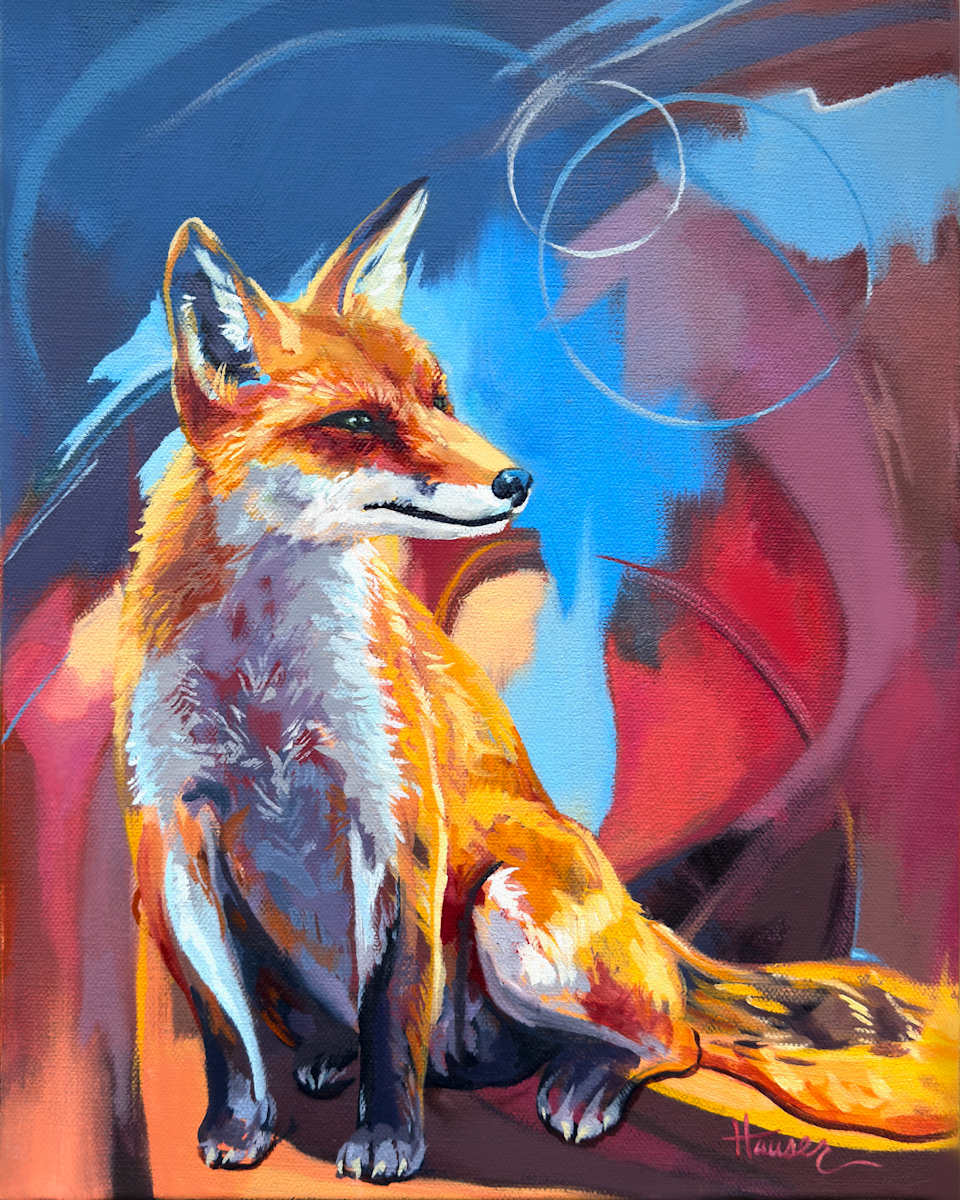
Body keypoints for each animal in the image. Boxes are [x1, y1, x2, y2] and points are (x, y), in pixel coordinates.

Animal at [114, 179, 957, 1184]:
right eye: (358, 423)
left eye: (439, 398)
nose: (516, 482)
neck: (263, 678)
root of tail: (644, 921)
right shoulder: (171, 837)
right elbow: (226, 1028)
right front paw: (241, 1126)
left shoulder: (394, 821)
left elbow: (391, 1010)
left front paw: (389, 1138)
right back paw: (329, 1051)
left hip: (509, 911)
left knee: (675, 1041)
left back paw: (588, 1081)